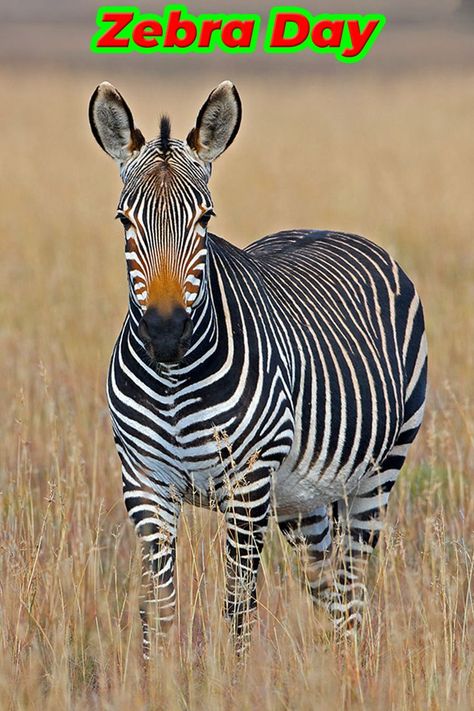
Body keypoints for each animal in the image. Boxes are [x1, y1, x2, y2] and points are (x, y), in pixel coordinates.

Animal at [88, 82, 426, 656]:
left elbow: (237, 611)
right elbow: (159, 613)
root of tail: (330, 228)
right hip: (302, 498)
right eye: (124, 221)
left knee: (352, 588)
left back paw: (349, 667)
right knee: (326, 585)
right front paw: (157, 674)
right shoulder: (144, 485)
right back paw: (326, 666)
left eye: (205, 218)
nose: (165, 334)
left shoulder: (247, 487)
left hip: (378, 471)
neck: (173, 383)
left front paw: (232, 675)